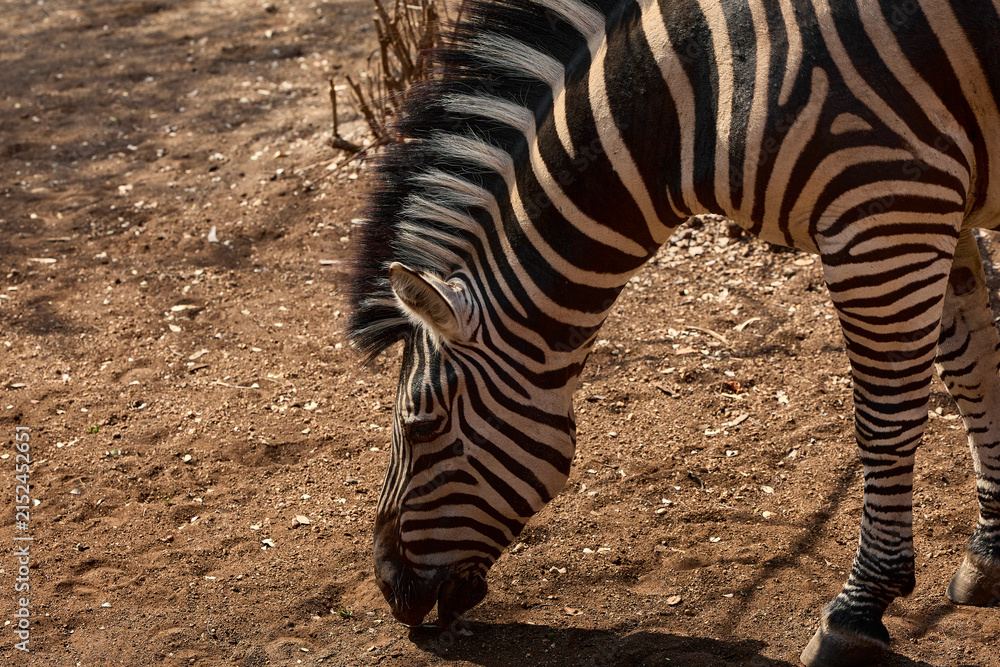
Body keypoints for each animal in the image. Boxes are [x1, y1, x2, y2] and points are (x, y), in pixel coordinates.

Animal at [347, 0, 1000, 663]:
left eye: (421, 426)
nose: (388, 587)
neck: (696, 100)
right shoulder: (933, 208)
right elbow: (975, 372)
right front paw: (989, 555)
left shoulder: (888, 206)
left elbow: (885, 421)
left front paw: (859, 608)